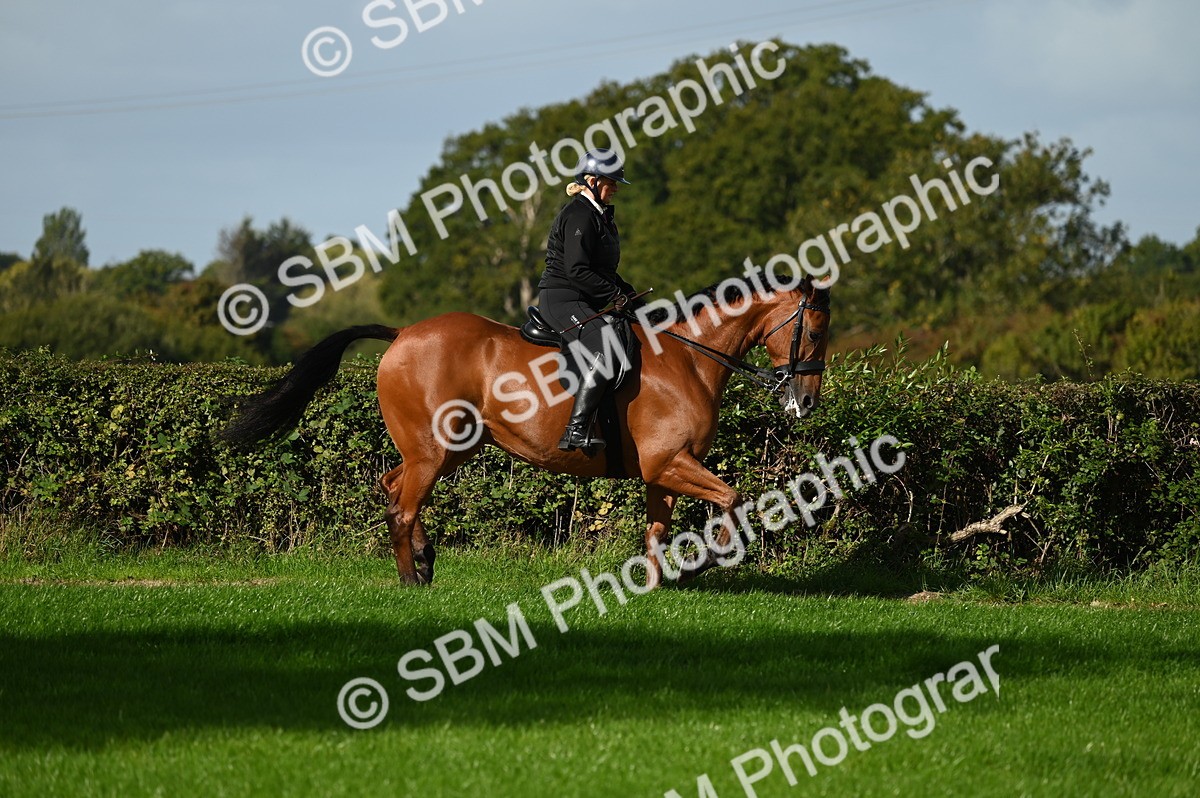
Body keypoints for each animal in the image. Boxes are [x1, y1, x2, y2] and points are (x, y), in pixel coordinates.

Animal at [222, 275, 830, 588]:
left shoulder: (663, 471)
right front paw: (716, 557)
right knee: (402, 505)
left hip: (448, 450)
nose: (805, 401)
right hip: (434, 452)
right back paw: (411, 579)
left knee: (391, 486)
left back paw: (426, 559)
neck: (688, 358)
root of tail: (401, 335)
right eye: (817, 329)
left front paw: (656, 584)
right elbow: (733, 497)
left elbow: (659, 529)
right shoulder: (670, 463)